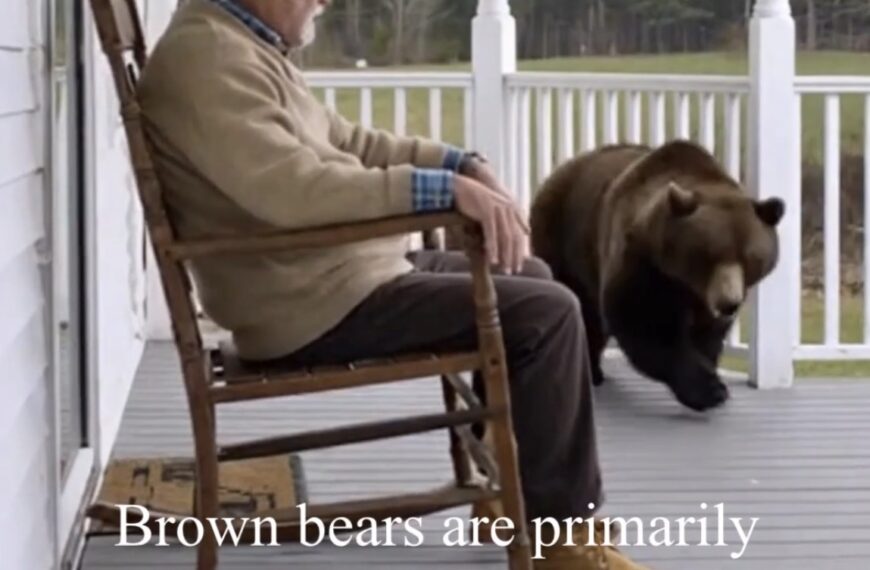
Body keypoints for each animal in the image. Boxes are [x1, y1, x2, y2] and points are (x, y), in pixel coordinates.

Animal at [529, 139, 785, 412]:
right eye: (709, 255)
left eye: (749, 258)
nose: (729, 303)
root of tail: (558, 171)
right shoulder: (641, 264)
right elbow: (645, 323)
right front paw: (710, 390)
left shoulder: (701, 296)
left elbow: (707, 335)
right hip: (565, 238)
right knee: (582, 307)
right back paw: (593, 372)